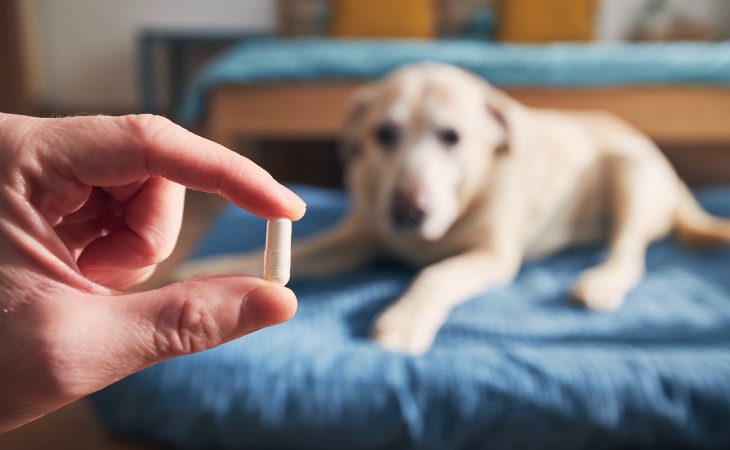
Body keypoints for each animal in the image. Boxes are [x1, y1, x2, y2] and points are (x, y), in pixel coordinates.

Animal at [175, 62, 728, 356]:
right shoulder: (353, 241)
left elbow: (435, 275)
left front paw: (403, 319)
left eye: (452, 137)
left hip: (630, 170)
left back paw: (602, 280)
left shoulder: (492, 257)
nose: (407, 212)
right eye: (384, 134)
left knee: (629, 252)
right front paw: (201, 271)